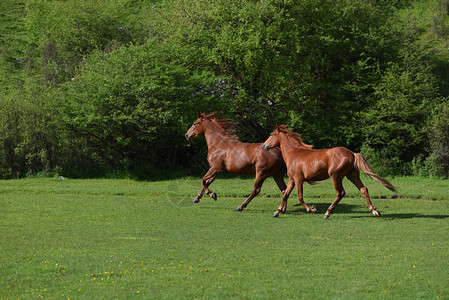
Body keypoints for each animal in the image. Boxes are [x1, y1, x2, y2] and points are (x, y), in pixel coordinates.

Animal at [262, 124, 396, 218]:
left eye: (272, 134)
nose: (264, 146)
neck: (293, 153)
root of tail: (352, 154)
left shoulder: (299, 179)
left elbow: (300, 197)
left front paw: (312, 209)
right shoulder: (292, 179)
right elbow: (285, 194)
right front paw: (277, 212)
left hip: (335, 176)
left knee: (341, 193)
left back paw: (327, 212)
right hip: (352, 175)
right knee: (363, 189)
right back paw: (374, 211)